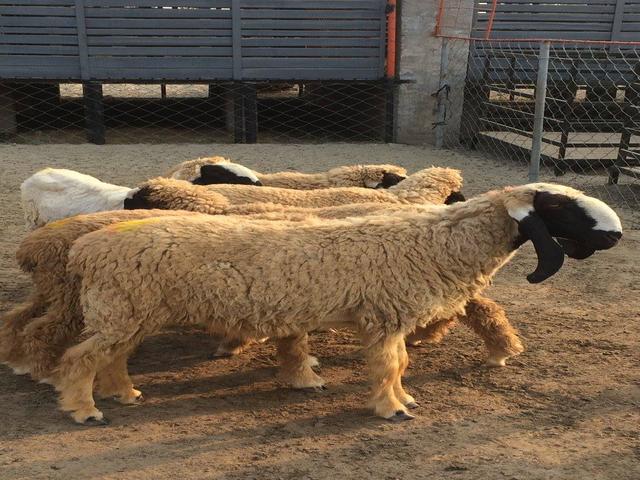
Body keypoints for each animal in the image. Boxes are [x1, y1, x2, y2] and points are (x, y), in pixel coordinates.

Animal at [54, 183, 621, 424]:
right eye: (558, 205)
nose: (616, 234)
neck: (435, 242)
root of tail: (86, 249)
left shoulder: (390, 317)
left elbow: (401, 364)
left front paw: (404, 399)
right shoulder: (386, 316)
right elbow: (391, 365)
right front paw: (391, 409)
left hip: (128, 312)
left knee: (111, 358)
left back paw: (124, 394)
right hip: (122, 309)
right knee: (80, 358)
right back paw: (85, 410)